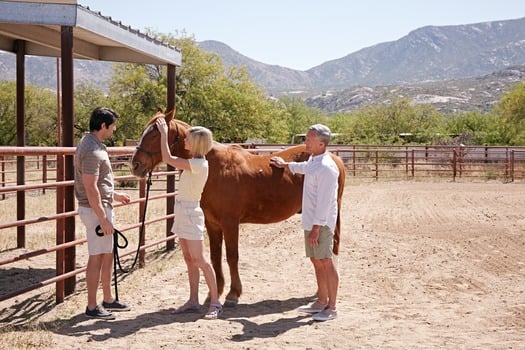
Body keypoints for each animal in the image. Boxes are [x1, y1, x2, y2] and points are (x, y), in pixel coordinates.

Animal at [129, 110, 346, 306]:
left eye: (156, 134)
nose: (135, 165)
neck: (214, 167)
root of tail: (335, 159)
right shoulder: (213, 224)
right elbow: (215, 257)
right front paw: (214, 294)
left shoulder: (230, 222)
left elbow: (232, 256)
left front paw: (233, 294)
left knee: (332, 248)